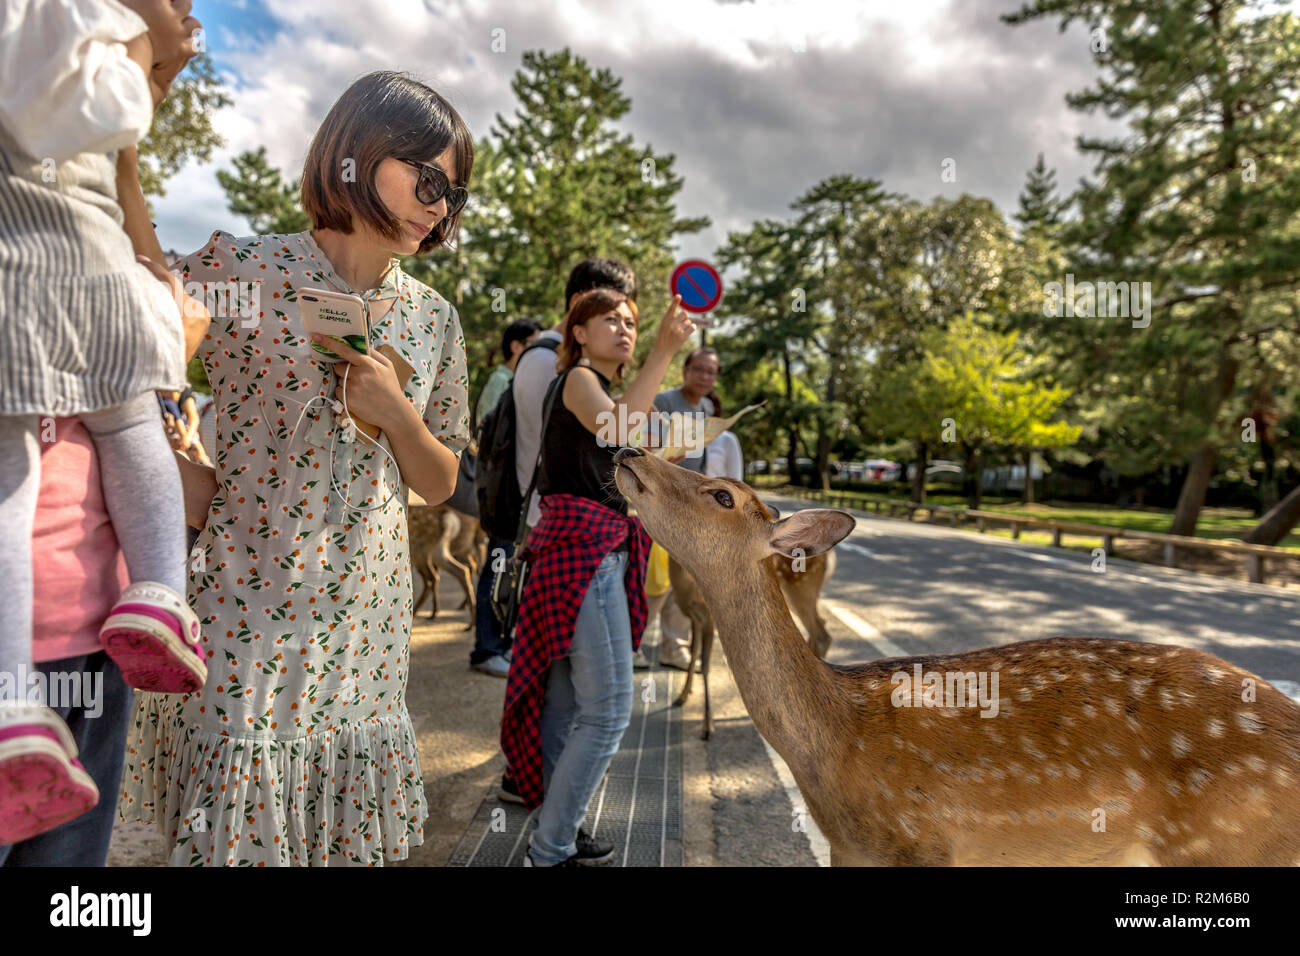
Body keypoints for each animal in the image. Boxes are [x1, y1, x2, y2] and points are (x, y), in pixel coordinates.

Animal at [665, 546, 837, 738]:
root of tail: (829, 556)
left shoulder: (708, 616)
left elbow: (705, 665)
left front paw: (707, 727)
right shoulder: (693, 617)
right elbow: (693, 652)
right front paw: (682, 696)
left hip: (801, 590)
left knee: (821, 636)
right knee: (820, 629)